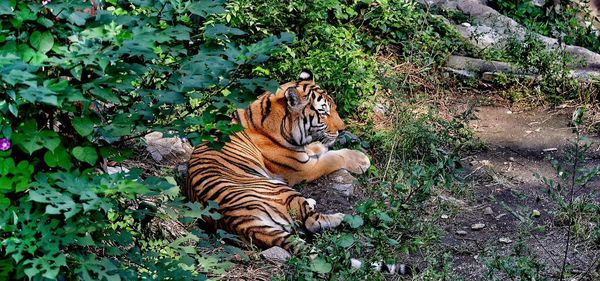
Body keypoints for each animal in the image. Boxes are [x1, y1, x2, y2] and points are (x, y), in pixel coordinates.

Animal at [185, 70, 370, 252]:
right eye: (323, 112)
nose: (343, 129)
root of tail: (244, 224)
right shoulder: (303, 169)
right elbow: (334, 157)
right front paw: (361, 160)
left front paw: (319, 146)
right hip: (282, 189)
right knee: (312, 221)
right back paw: (340, 216)